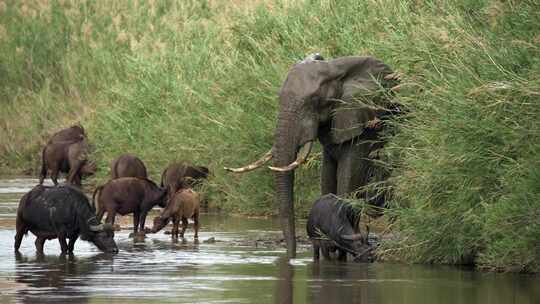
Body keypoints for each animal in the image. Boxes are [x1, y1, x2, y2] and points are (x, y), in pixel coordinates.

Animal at [224, 54, 400, 256]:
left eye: (315, 100)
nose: (290, 256)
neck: (336, 68)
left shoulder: (365, 124)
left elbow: (349, 178)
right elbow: (327, 178)